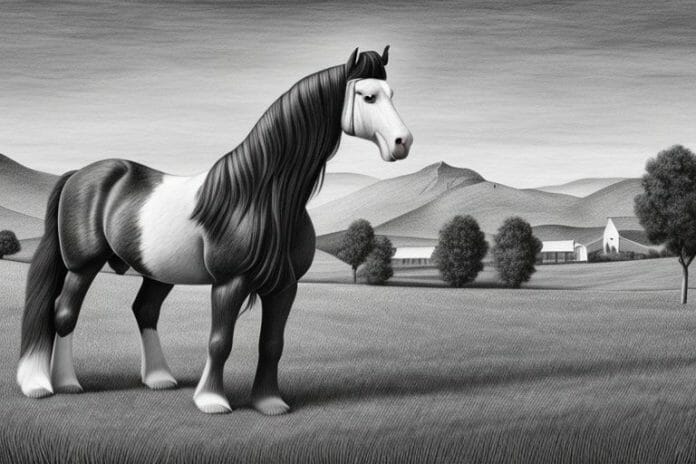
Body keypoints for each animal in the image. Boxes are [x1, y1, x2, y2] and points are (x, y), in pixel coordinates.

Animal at [16, 46, 413, 415]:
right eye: (368, 96)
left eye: (392, 92)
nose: (403, 142)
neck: (257, 197)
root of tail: (79, 175)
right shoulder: (229, 283)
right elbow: (220, 341)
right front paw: (211, 400)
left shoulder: (285, 286)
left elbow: (272, 343)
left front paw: (269, 402)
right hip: (82, 266)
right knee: (63, 313)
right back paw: (63, 383)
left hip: (158, 273)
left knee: (144, 310)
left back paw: (158, 378)